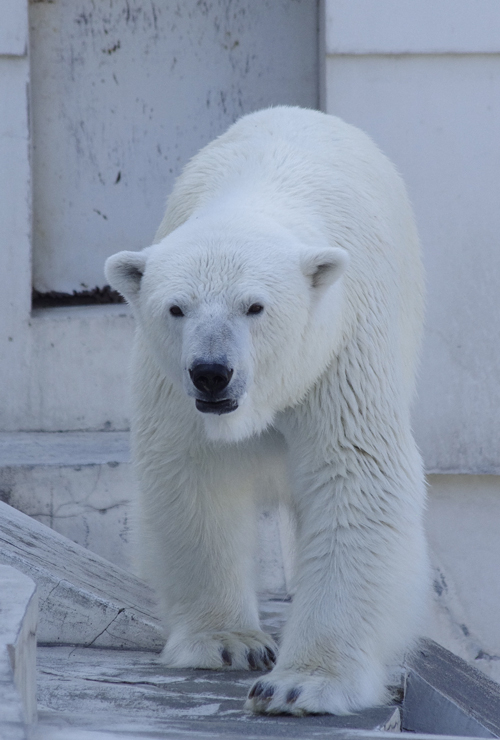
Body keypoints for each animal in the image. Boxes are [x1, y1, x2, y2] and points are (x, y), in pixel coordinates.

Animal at [104, 108, 426, 716]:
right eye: (176, 308)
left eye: (255, 306)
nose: (211, 371)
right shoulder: (171, 383)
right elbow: (195, 472)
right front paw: (230, 643)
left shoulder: (338, 347)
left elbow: (353, 471)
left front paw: (302, 683)